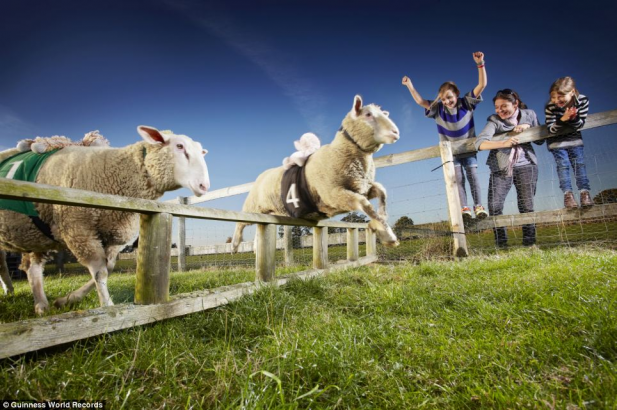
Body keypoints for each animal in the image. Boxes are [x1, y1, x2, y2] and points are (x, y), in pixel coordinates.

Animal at [0, 125, 211, 314]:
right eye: (180, 146)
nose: (204, 186)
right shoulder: (79, 230)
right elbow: (99, 271)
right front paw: (108, 307)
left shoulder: (114, 237)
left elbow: (107, 268)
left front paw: (67, 299)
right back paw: (17, 294)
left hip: (32, 235)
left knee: (31, 267)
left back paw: (39, 305)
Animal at [231, 95, 400, 253]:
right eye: (368, 114)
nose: (395, 132)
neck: (340, 152)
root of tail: (262, 175)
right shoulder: (334, 194)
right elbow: (364, 203)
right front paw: (388, 236)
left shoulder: (362, 187)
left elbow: (381, 192)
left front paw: (384, 224)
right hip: (253, 205)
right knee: (241, 222)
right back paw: (234, 245)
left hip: (270, 210)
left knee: (260, 223)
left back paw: (255, 246)